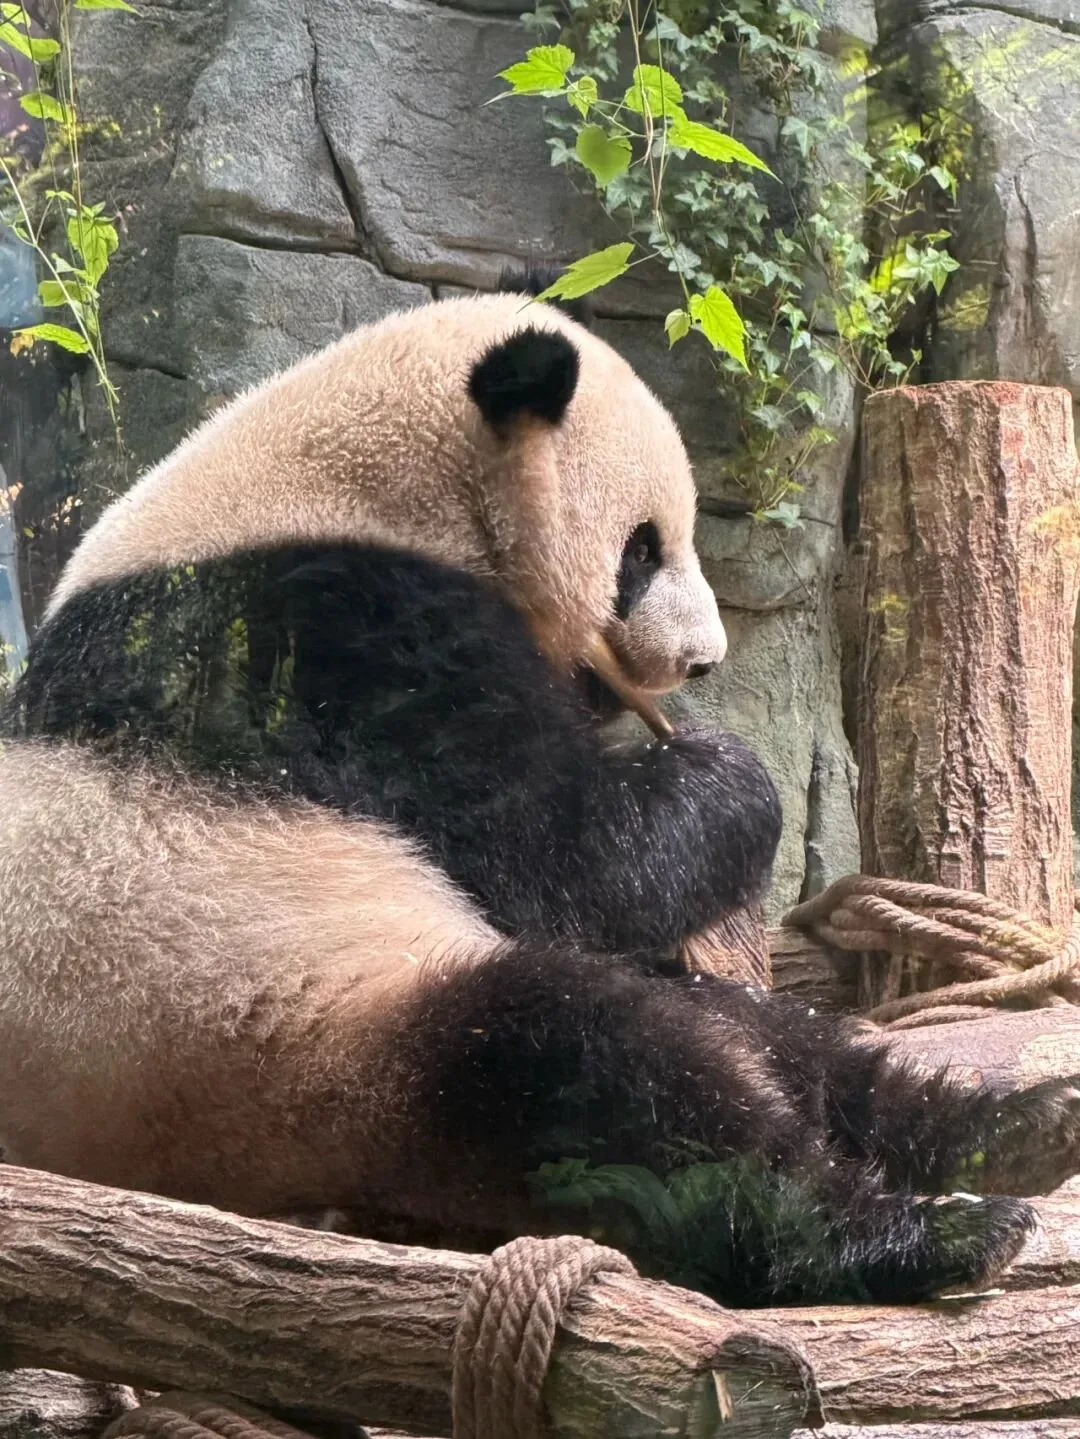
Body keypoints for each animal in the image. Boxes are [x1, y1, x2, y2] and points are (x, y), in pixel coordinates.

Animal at [1, 269, 1077, 1308]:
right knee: (600, 1077)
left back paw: (1010, 1128)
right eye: (643, 548)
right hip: (281, 1052)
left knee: (769, 1034)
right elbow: (559, 860)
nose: (701, 660)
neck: (338, 487)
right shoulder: (331, 646)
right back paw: (915, 1232)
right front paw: (725, 771)